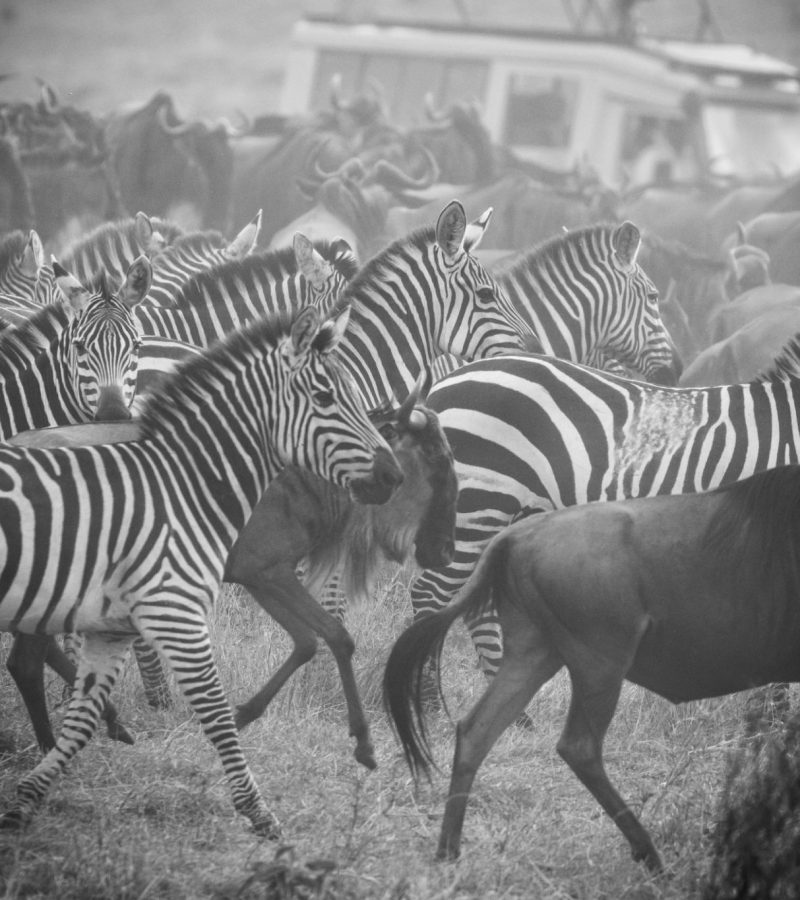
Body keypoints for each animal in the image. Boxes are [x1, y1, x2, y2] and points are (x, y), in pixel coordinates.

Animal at [0, 304, 400, 836]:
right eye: (325, 398)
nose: (392, 478)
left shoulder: (260, 577)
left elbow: (310, 641)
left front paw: (251, 713)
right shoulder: (263, 572)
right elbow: (332, 636)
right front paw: (360, 743)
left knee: (31, 658)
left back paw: (96, 731)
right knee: (25, 662)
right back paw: (59, 745)